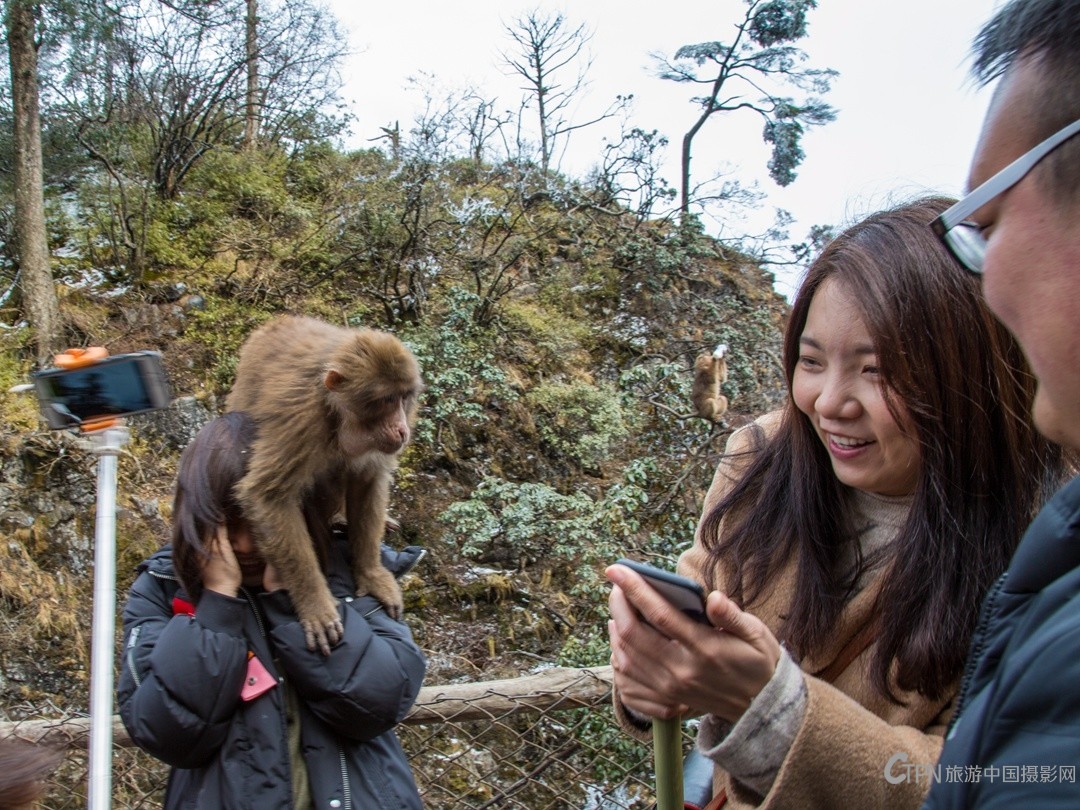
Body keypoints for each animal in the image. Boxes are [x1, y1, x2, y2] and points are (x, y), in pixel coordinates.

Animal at [224, 313, 421, 656]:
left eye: (403, 397)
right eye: (386, 400)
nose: (401, 428)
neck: (337, 412)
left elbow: (368, 480)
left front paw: (371, 573)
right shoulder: (302, 419)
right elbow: (268, 496)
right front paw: (314, 602)